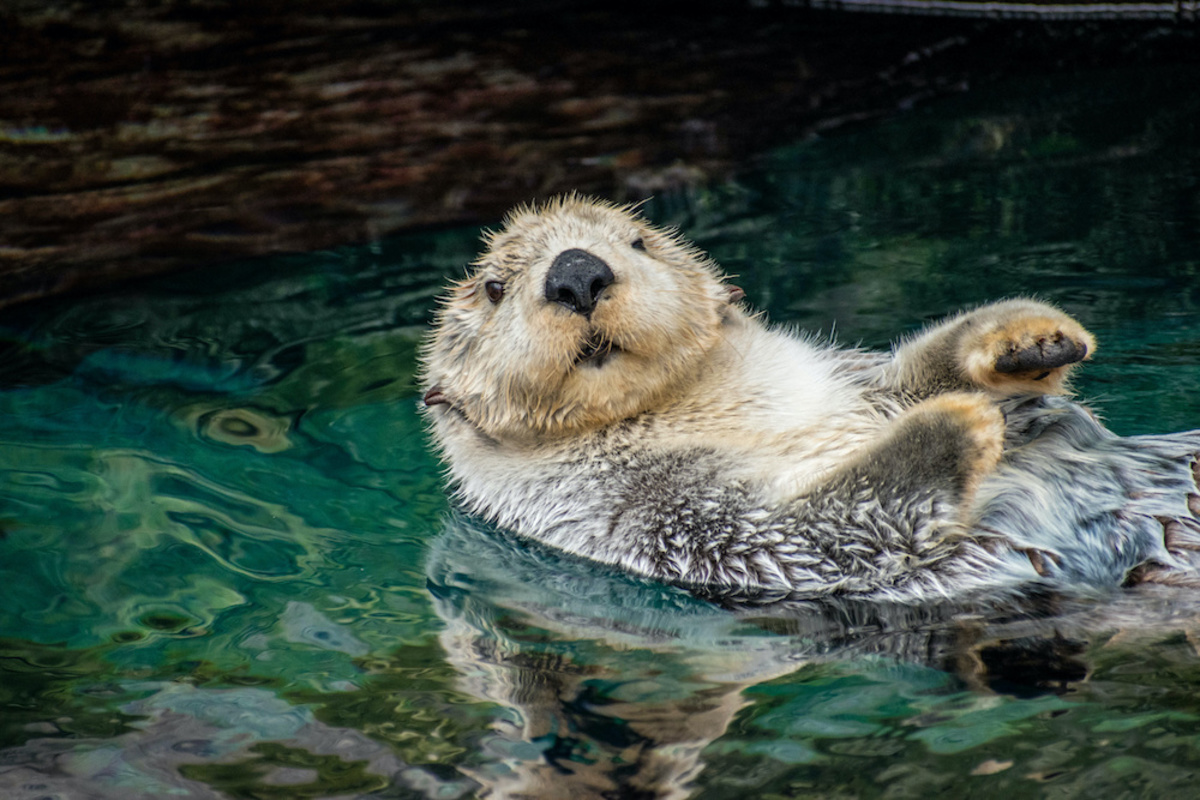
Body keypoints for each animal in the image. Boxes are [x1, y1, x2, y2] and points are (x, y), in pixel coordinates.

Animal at [420, 196, 1200, 604]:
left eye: (637, 241)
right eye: (494, 287)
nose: (577, 272)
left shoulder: (858, 385)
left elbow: (917, 373)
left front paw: (1028, 338)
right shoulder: (657, 517)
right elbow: (821, 530)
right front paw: (957, 421)